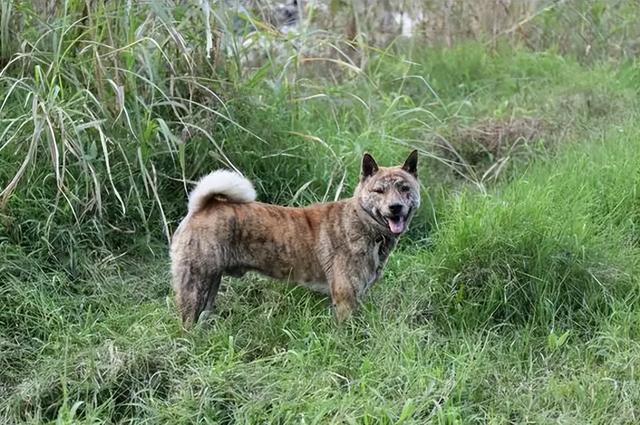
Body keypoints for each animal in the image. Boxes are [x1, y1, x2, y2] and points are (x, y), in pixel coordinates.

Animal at [170, 151, 420, 326]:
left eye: (404, 188)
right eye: (379, 191)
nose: (395, 207)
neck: (363, 221)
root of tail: (202, 206)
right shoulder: (345, 299)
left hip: (211, 284)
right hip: (194, 285)